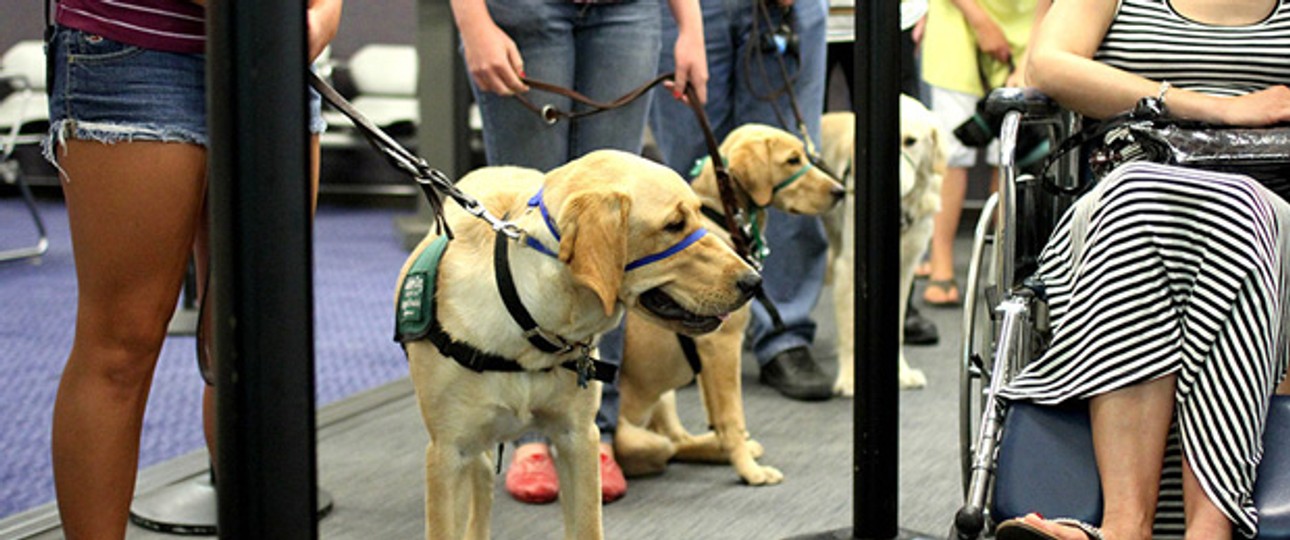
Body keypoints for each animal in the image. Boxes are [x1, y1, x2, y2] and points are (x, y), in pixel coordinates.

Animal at [392, 148, 753, 540]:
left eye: (701, 212)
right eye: (673, 224)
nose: (754, 281)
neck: (529, 325)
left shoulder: (578, 439)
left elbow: (587, 526)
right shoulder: (449, 454)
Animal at [614, 123, 846, 487]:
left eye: (803, 155)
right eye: (792, 160)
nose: (840, 190)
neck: (719, 216)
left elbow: (719, 416)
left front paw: (736, 454)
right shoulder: (721, 344)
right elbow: (732, 417)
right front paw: (749, 472)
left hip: (665, 397)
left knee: (678, 440)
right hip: (637, 436)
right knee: (667, 447)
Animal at [825, 95, 949, 394]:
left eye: (911, 141)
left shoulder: (905, 268)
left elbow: (897, 330)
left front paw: (901, 374)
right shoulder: (849, 268)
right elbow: (850, 330)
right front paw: (850, 378)